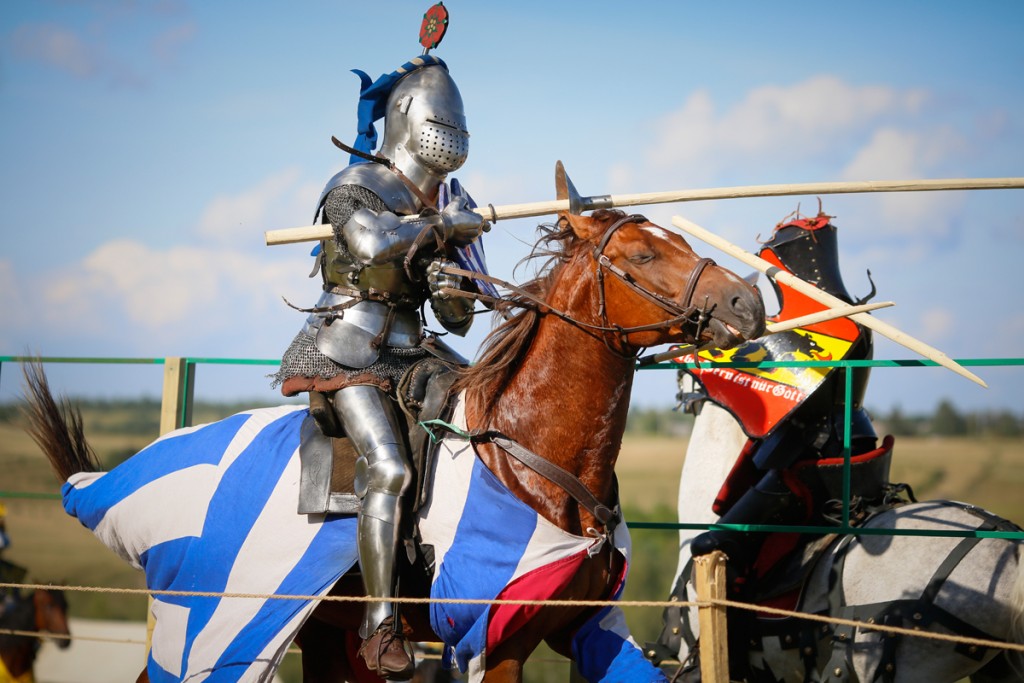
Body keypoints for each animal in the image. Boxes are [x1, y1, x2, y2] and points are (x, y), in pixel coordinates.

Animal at [19, 209, 765, 683]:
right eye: (643, 254)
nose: (747, 304)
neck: (526, 455)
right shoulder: (484, 643)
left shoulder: (587, 630)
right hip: (209, 622)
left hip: (320, 635)